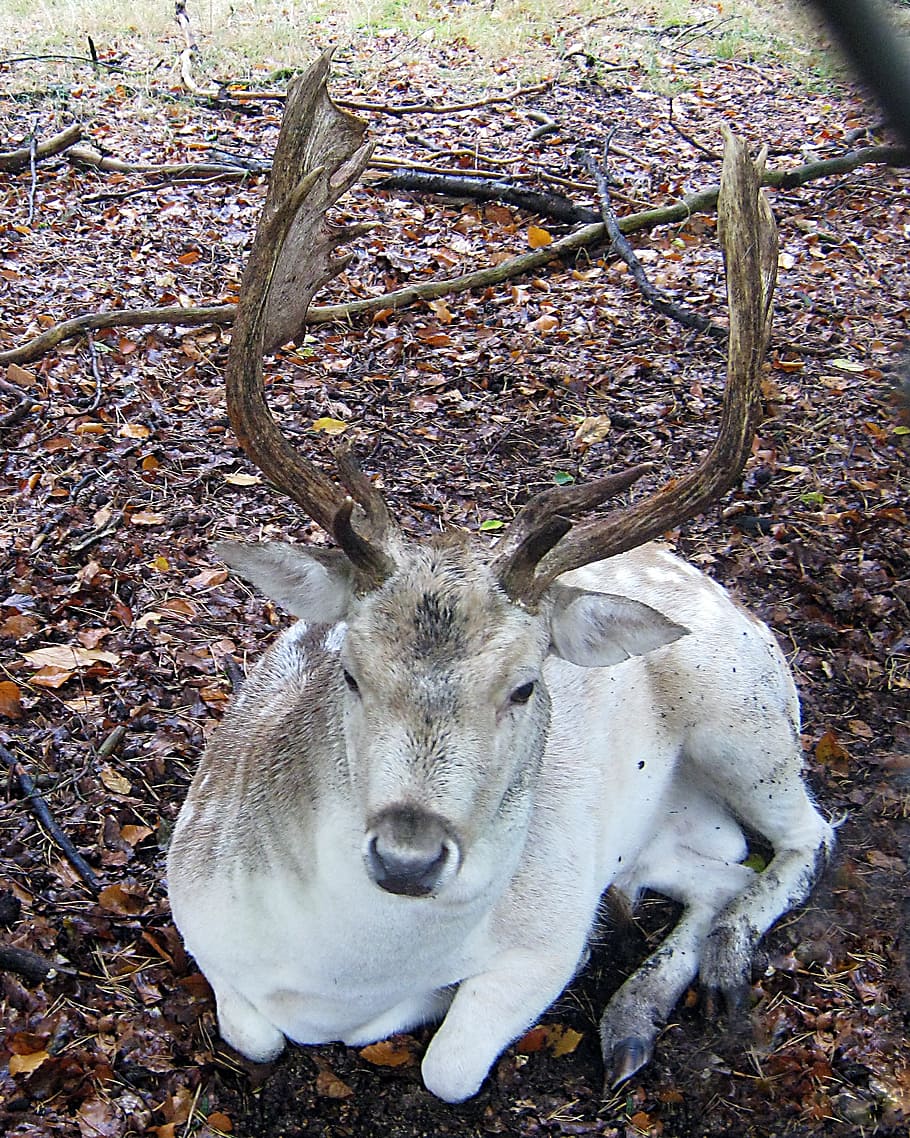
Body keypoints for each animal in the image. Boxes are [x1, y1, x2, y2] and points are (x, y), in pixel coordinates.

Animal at [166, 55, 834, 1104]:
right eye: (348, 671)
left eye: (526, 686)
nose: (407, 856)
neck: (340, 977)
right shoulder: (192, 908)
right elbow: (254, 1034)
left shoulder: (544, 940)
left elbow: (447, 1066)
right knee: (725, 867)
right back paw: (639, 1002)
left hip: (748, 714)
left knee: (806, 839)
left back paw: (678, 990)